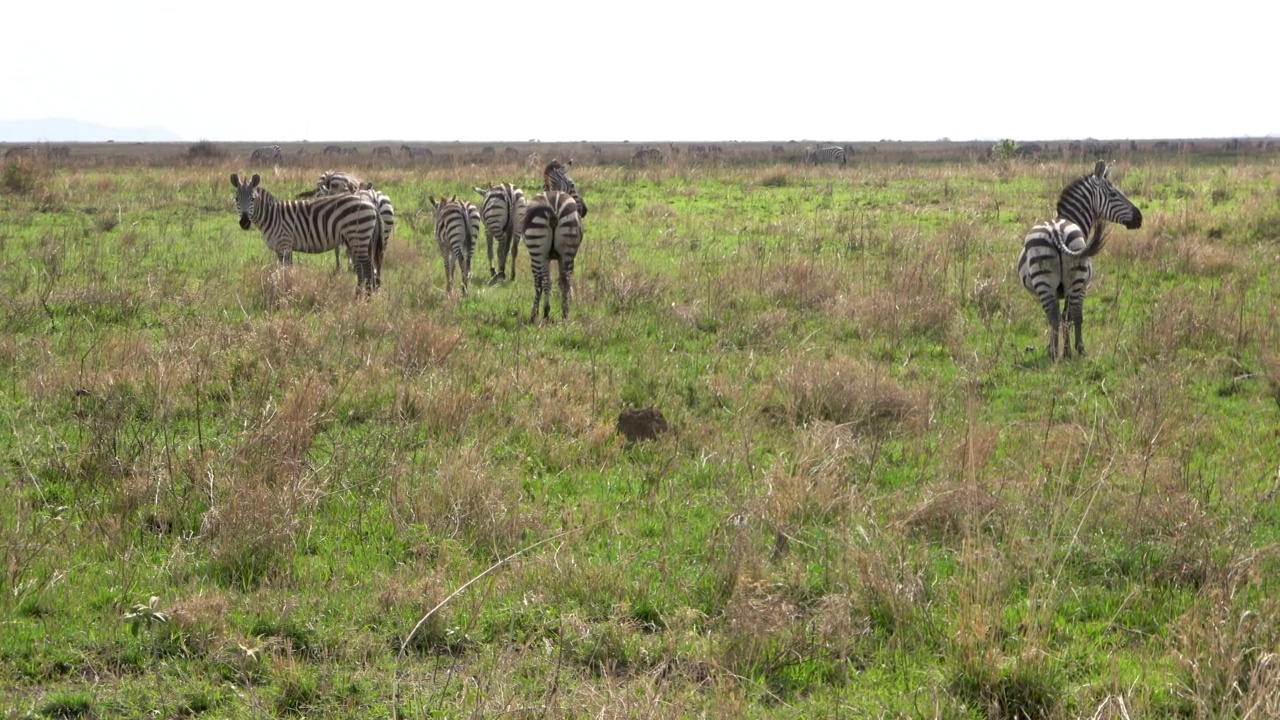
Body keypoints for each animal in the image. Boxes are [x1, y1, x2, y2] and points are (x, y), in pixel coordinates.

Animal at [230, 172, 378, 294]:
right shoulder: (280, 248)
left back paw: (366, 297)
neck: (272, 216)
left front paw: (286, 289)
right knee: (361, 266)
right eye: (236, 199)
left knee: (367, 266)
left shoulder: (285, 244)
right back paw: (361, 294)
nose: (244, 222)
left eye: (253, 199)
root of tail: (369, 202)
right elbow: (283, 269)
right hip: (355, 239)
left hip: (358, 235)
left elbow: (286, 269)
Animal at [519, 192, 586, 324]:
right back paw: (565, 314)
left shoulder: (541, 258)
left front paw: (537, 313)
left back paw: (541, 313)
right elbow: (559, 282)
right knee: (565, 280)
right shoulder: (560, 258)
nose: (585, 210)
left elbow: (542, 282)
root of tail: (554, 209)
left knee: (542, 281)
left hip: (538, 251)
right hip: (568, 248)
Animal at [1013, 158, 1146, 356]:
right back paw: (1069, 351)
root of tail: (1056, 230)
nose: (1139, 218)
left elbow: (1060, 316)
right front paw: (1073, 348)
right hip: (1075, 281)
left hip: (1046, 281)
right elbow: (1073, 315)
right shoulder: (1083, 286)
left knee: (1054, 316)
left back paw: (1056, 353)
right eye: (1113, 193)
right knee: (1069, 315)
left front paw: (1056, 347)